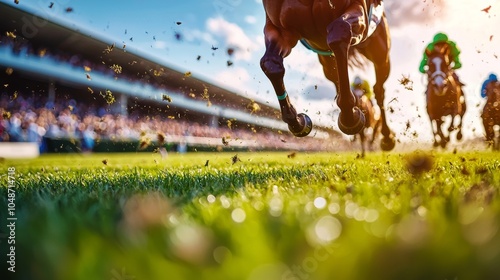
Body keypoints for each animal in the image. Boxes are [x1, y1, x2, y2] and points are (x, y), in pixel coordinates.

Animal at [260, 0, 396, 151]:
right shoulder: (280, 30)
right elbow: (270, 64)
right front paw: (297, 122)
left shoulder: (359, 11)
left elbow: (338, 33)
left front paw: (350, 119)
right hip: (327, 61)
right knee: (338, 80)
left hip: (381, 54)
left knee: (379, 91)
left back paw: (387, 137)